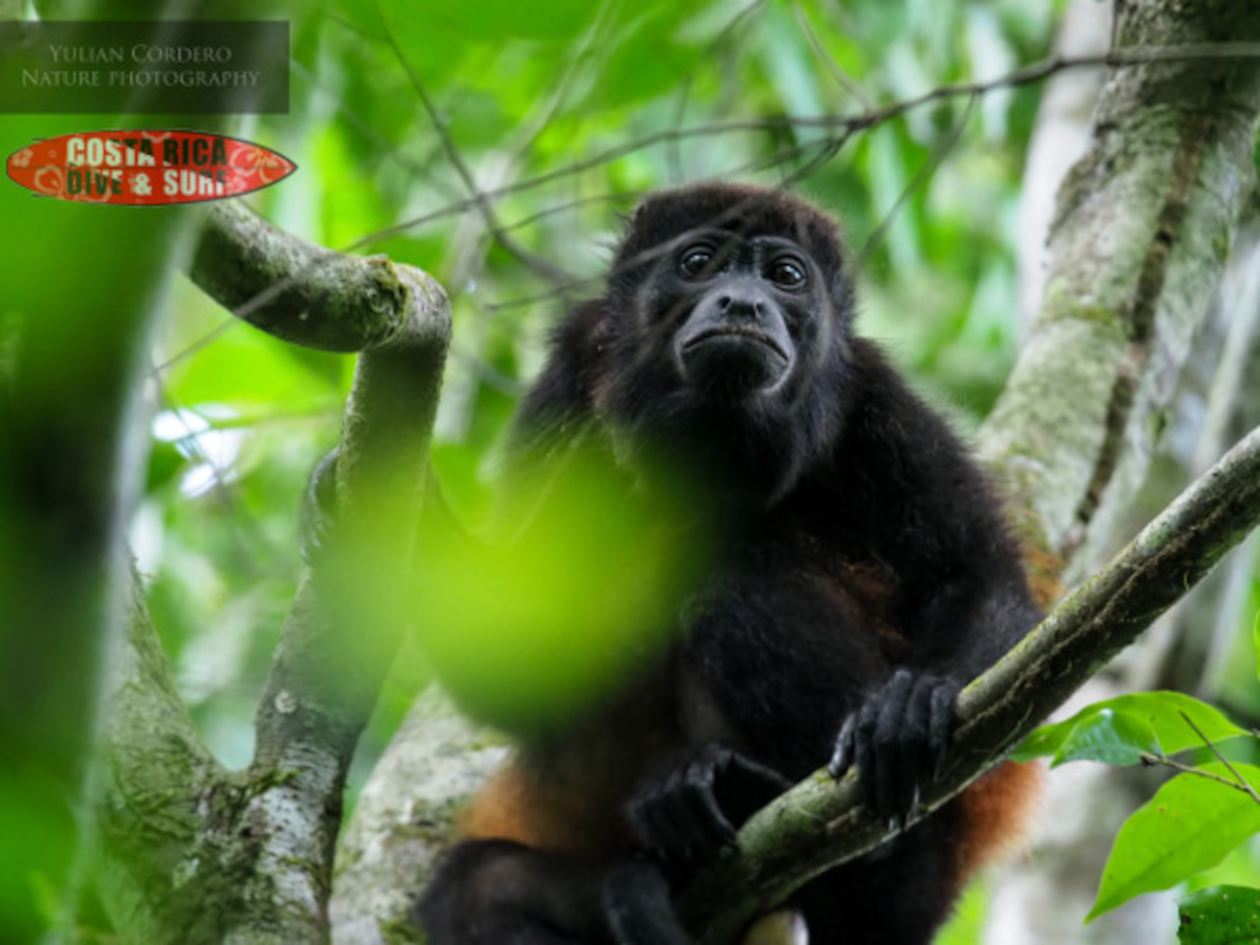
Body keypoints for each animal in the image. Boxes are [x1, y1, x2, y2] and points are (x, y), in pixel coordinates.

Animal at [408, 185, 1038, 945]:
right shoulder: (568, 378)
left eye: (786, 276)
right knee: (470, 890)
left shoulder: (870, 394)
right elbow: (510, 661)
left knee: (736, 566)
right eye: (698, 262)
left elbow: (975, 571)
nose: (742, 302)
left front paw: (913, 700)